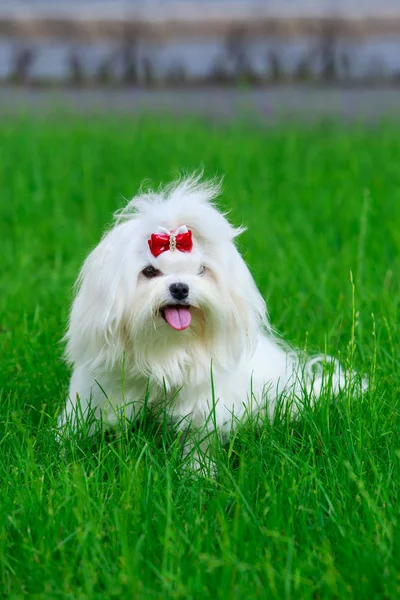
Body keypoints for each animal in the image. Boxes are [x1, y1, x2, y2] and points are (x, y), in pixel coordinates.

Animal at [59, 176, 362, 472]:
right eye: (150, 271)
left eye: (201, 270)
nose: (180, 288)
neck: (166, 351)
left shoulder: (205, 407)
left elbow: (198, 441)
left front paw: (197, 473)